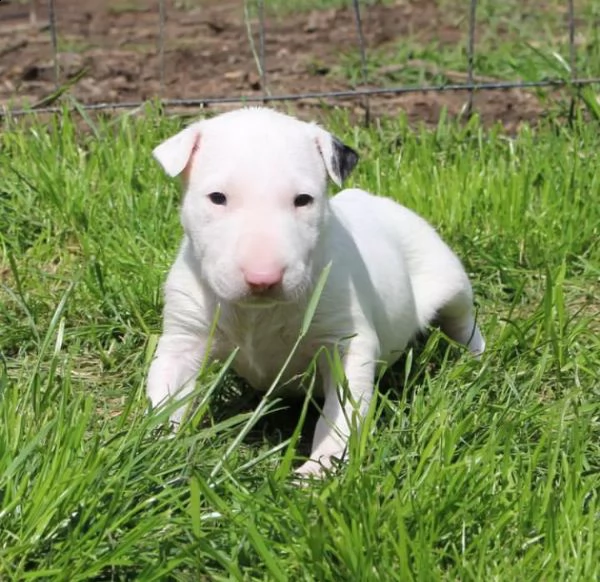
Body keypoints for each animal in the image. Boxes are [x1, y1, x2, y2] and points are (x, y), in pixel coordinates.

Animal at [148, 107, 486, 476]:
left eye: (303, 200)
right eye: (217, 198)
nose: (263, 279)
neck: (257, 314)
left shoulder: (344, 340)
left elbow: (341, 412)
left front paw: (318, 470)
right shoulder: (185, 335)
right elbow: (166, 392)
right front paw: (158, 451)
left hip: (449, 279)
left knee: (463, 323)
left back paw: (475, 361)